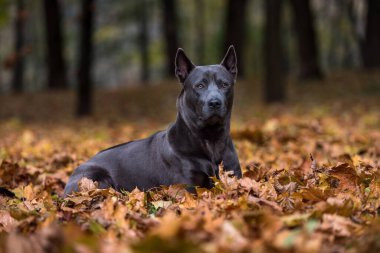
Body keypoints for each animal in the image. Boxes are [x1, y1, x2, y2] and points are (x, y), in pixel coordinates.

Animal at [63, 46, 240, 196]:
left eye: (224, 85)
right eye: (200, 86)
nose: (215, 103)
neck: (210, 138)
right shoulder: (187, 187)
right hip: (95, 178)